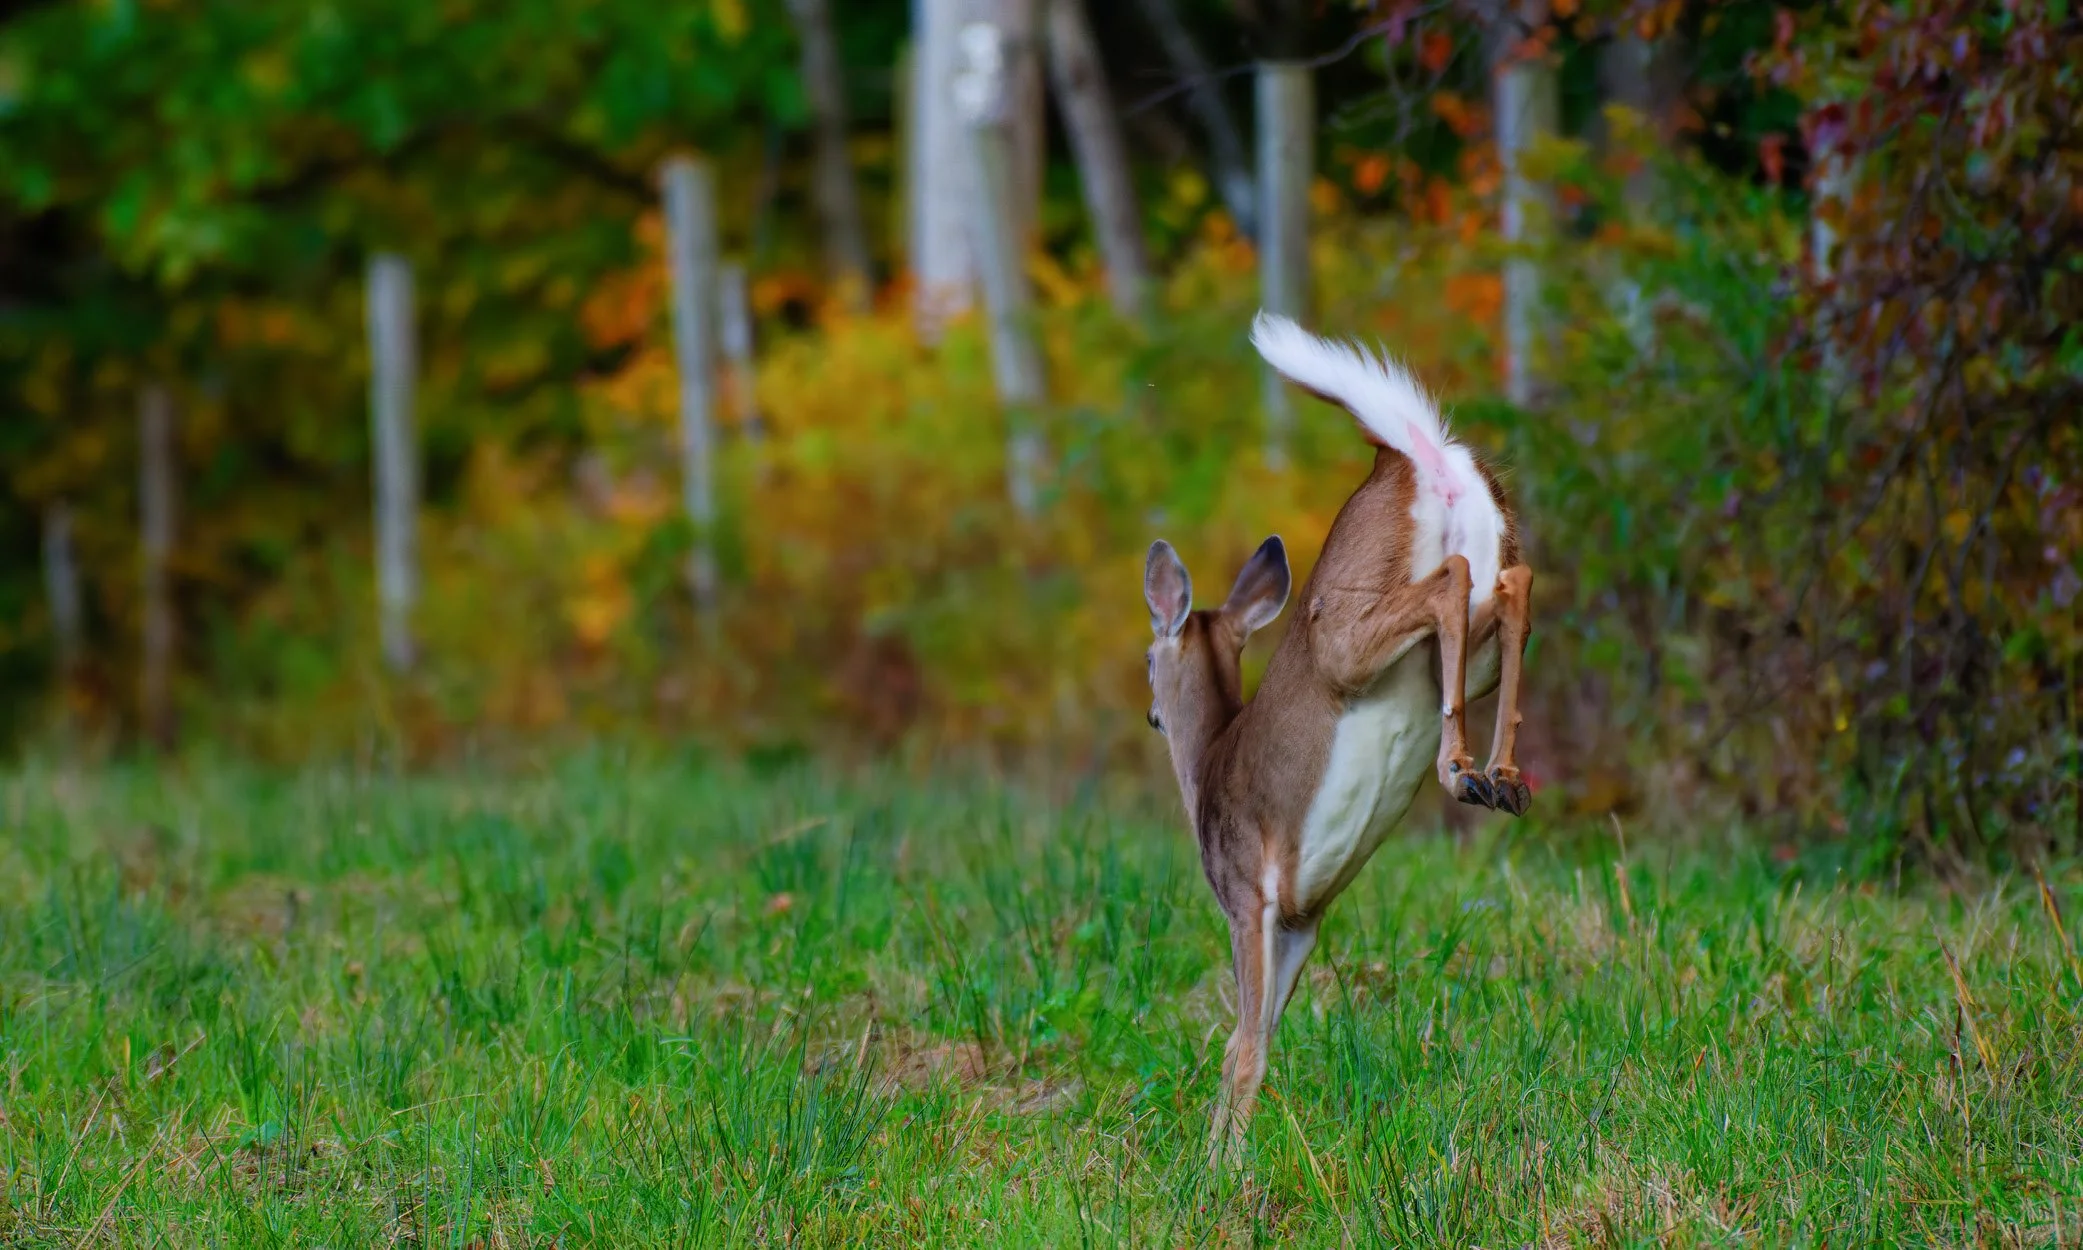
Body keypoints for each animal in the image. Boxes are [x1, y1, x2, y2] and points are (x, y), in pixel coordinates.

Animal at [1142, 313, 1534, 1166]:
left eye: (1146, 661)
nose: (1150, 717)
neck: (1205, 768)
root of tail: (1402, 452)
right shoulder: (1303, 916)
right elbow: (1251, 1038)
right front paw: (1220, 1155)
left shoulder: (1248, 891)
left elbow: (1244, 1043)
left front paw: (1217, 1169)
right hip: (1481, 614)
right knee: (1511, 588)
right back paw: (1501, 776)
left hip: (1345, 636)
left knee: (1451, 580)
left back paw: (1460, 770)